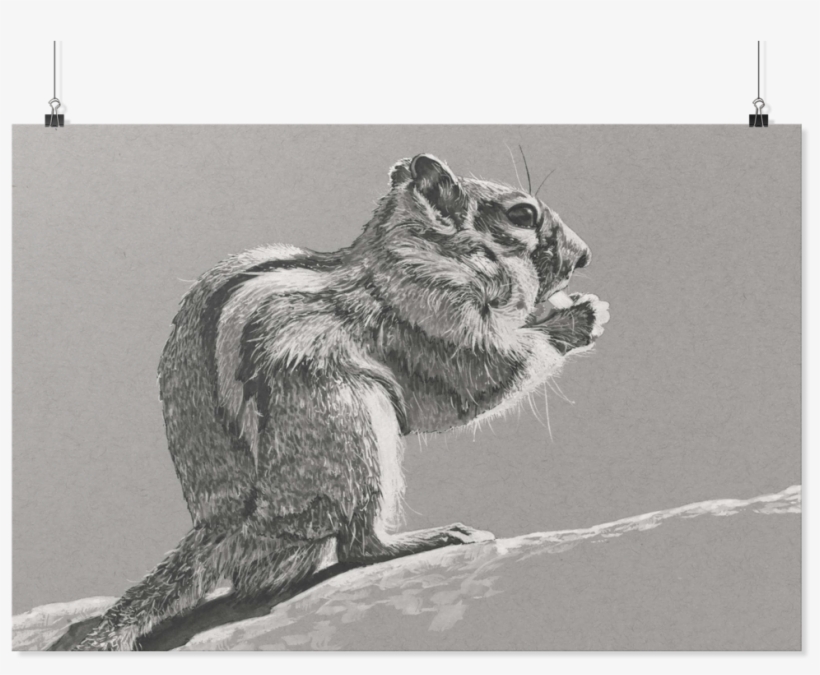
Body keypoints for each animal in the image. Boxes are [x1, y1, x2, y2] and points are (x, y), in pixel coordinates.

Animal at [73, 153, 609, 650]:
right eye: (522, 214)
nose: (584, 255)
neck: (415, 251)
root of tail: (226, 523)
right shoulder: (433, 315)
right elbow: (488, 370)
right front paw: (580, 318)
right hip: (352, 425)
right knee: (357, 544)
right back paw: (430, 537)